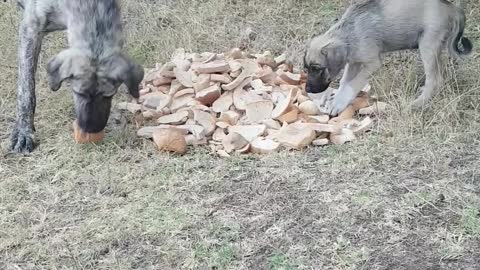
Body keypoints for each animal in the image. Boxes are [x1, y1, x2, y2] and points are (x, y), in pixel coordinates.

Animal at [10, 0, 143, 152]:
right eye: (78, 93)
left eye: (109, 95)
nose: (91, 130)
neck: (91, 7)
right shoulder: (31, 30)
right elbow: (26, 90)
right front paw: (24, 131)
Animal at [304, 0, 472, 115]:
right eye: (306, 69)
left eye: (317, 68)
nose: (307, 89)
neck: (349, 34)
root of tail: (452, 8)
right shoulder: (354, 62)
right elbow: (345, 81)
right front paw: (337, 96)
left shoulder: (372, 63)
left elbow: (354, 83)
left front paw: (338, 102)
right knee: (437, 75)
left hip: (428, 45)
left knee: (435, 79)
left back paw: (418, 103)